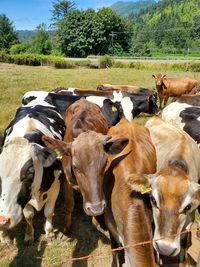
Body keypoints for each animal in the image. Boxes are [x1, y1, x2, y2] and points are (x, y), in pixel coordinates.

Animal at [0, 96, 65, 245]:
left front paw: (49, 233)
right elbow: (29, 216)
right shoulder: (25, 199)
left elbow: (48, 212)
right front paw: (29, 235)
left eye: (30, 172)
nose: (3, 220)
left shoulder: (55, 187)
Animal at [144, 117, 200, 266]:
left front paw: (182, 261)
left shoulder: (190, 217)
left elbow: (184, 239)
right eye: (153, 200)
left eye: (188, 206)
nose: (165, 248)